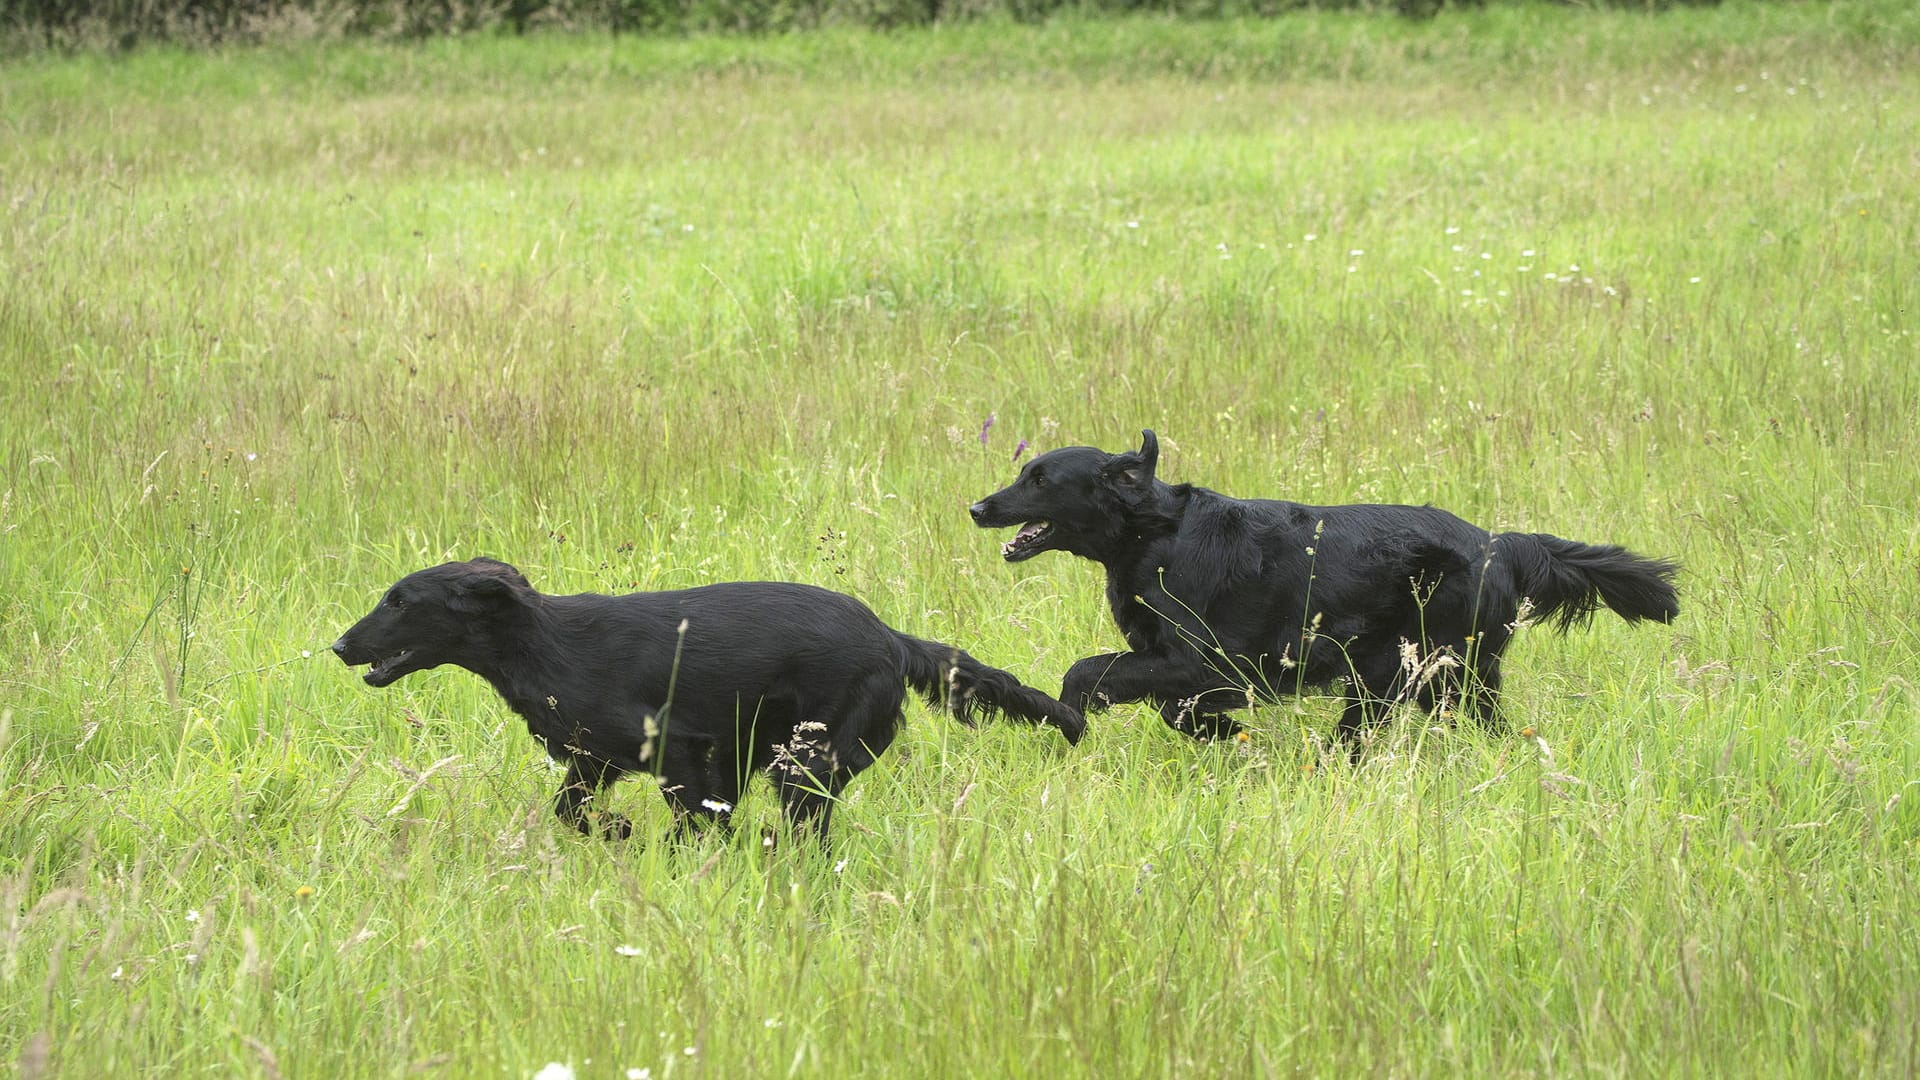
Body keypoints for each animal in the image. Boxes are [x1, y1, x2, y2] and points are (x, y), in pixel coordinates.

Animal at [332, 553, 1082, 841]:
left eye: (400, 601)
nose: (339, 647)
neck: (543, 645)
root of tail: (890, 639)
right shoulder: (593, 761)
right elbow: (570, 813)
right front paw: (620, 832)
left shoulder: (683, 750)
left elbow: (694, 821)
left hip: (805, 761)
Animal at [967, 426, 1674, 737]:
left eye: (1040, 479)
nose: (977, 507)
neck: (1153, 535)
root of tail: (1499, 544)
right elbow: (1169, 706)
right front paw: (1222, 734)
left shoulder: (1206, 661)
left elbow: (1087, 674)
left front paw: (1069, 720)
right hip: (1396, 680)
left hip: (1442, 672)